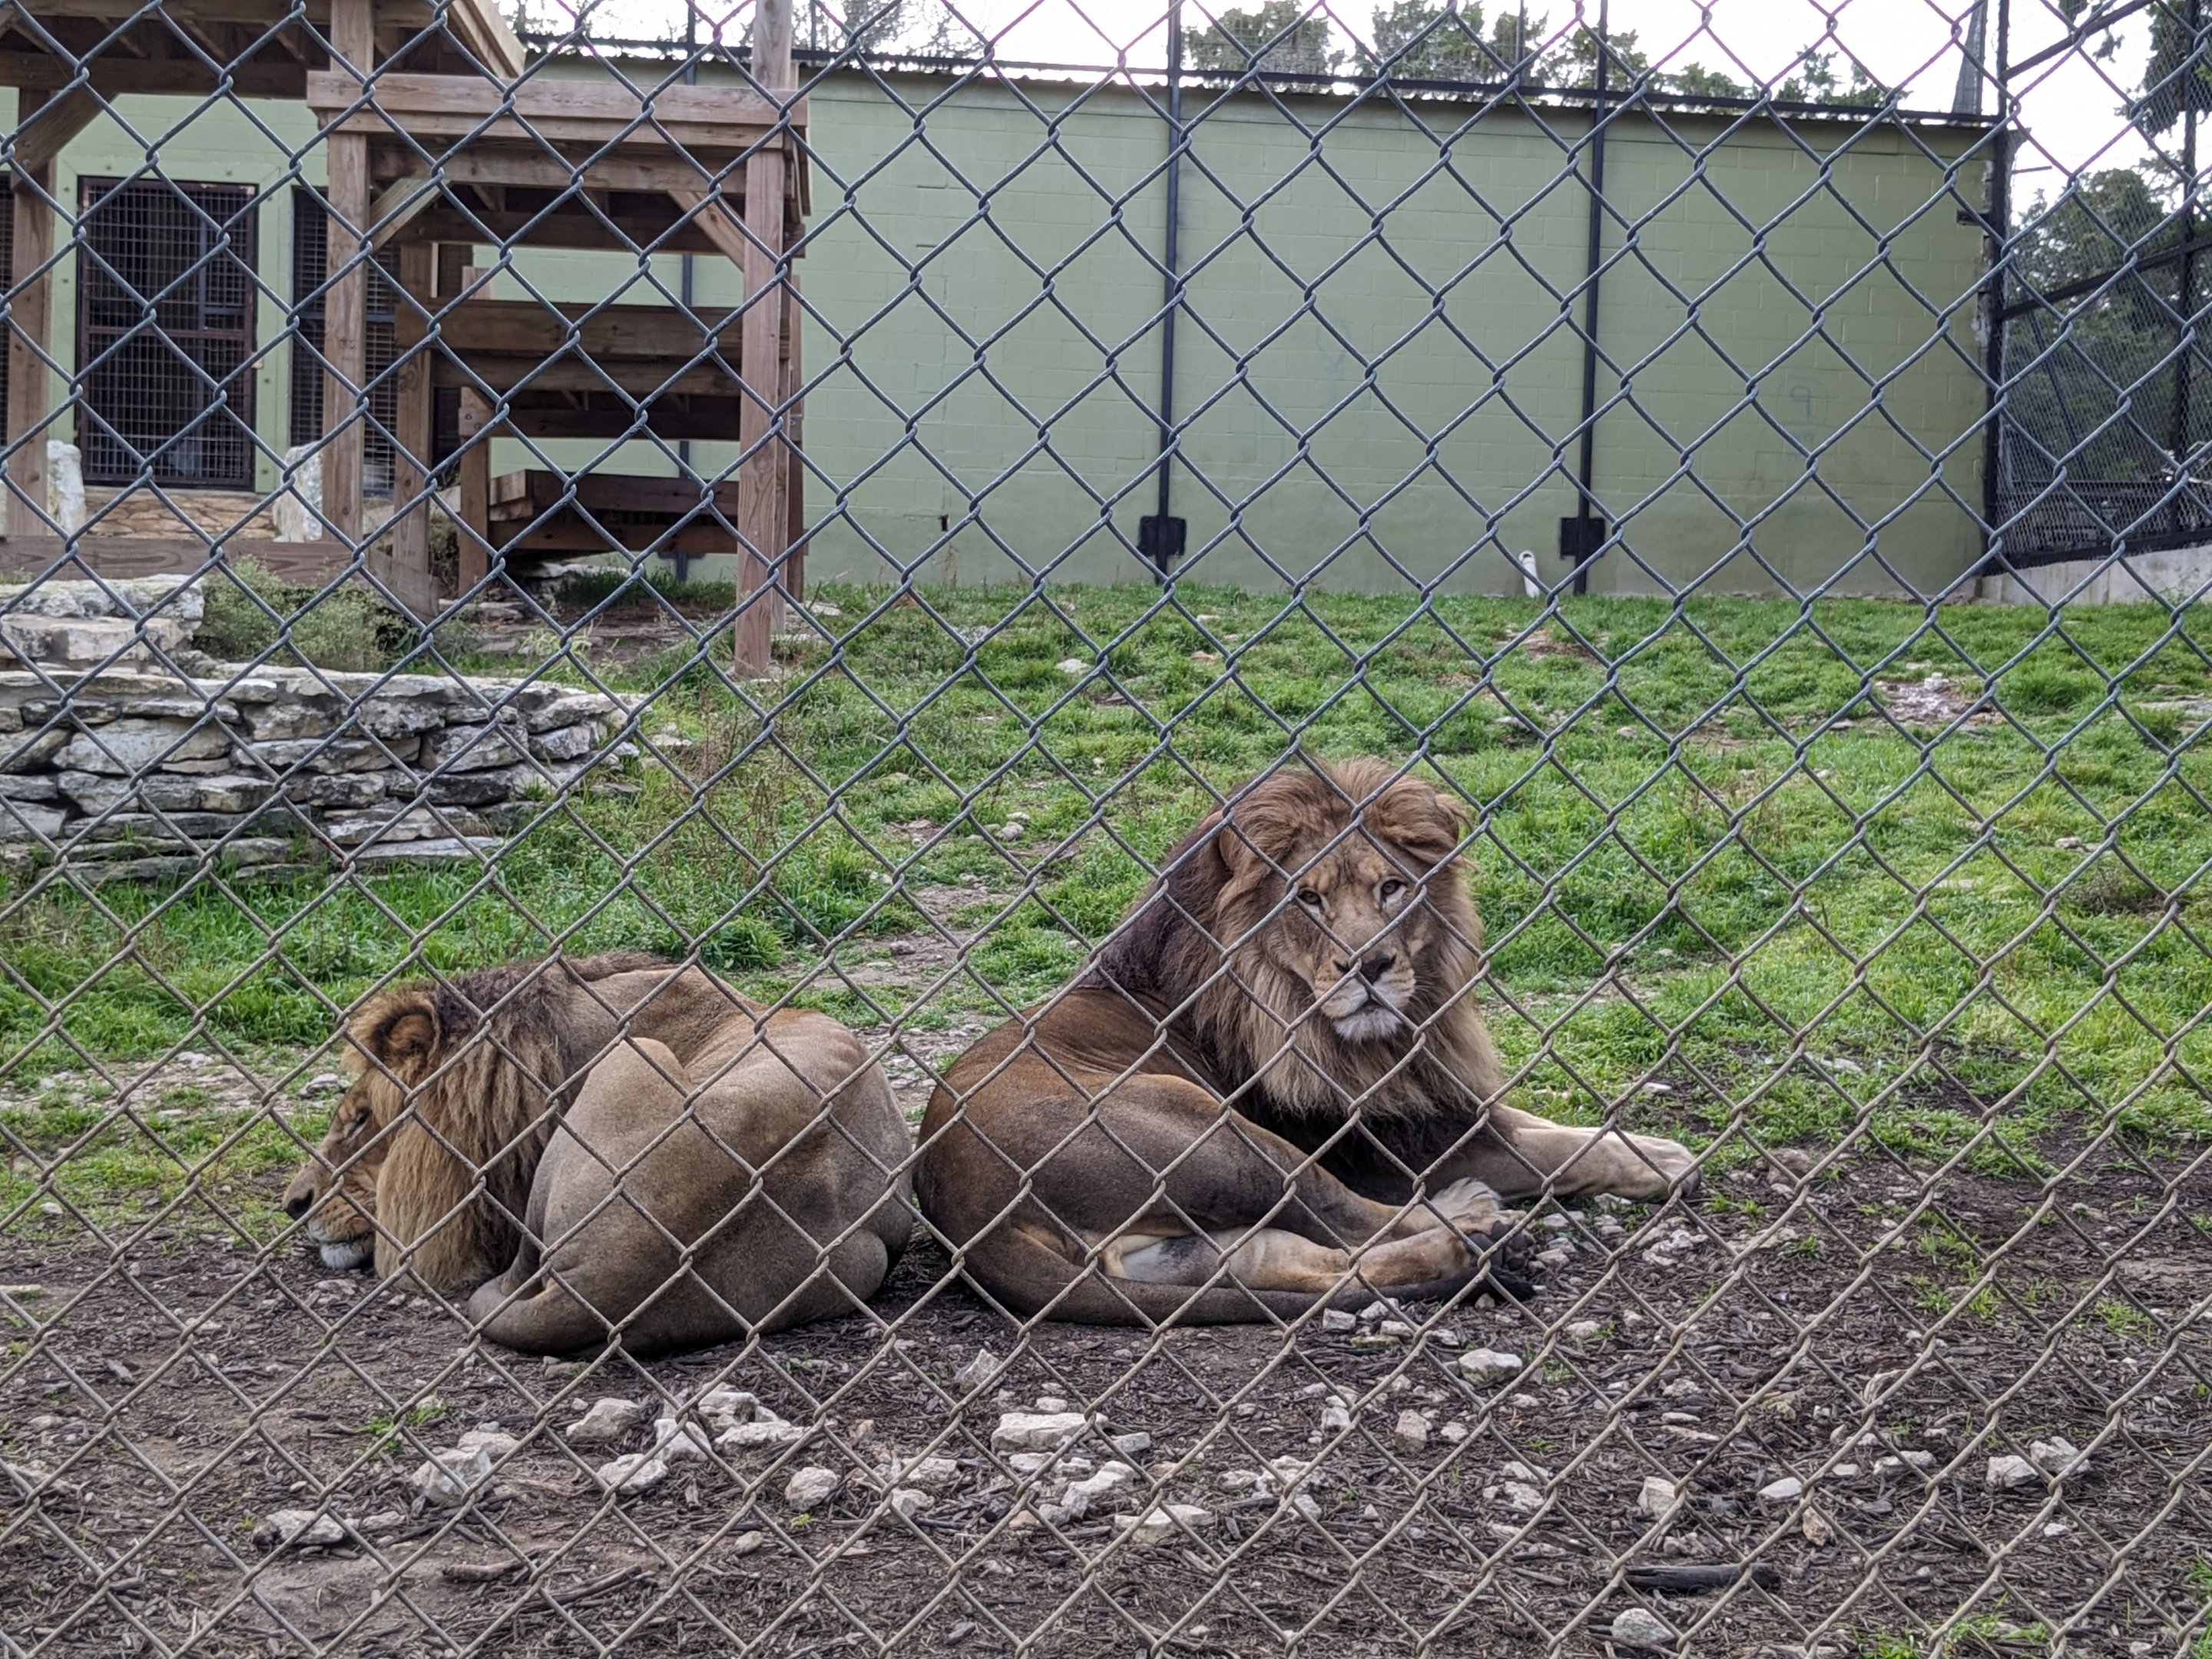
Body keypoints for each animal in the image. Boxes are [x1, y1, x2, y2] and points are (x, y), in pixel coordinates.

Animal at [917, 759, 1696, 1325]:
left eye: (1391, 888)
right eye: (1309, 900)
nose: (1369, 965)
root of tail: (969, 1213)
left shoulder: (1430, 1094)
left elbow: (1533, 1122)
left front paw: (1653, 1148)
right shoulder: (1379, 1139)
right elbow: (1541, 1149)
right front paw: (1663, 1159)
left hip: (1177, 1235)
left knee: (1281, 1261)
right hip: (1214, 1132)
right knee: (1348, 1219)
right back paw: (1470, 1220)